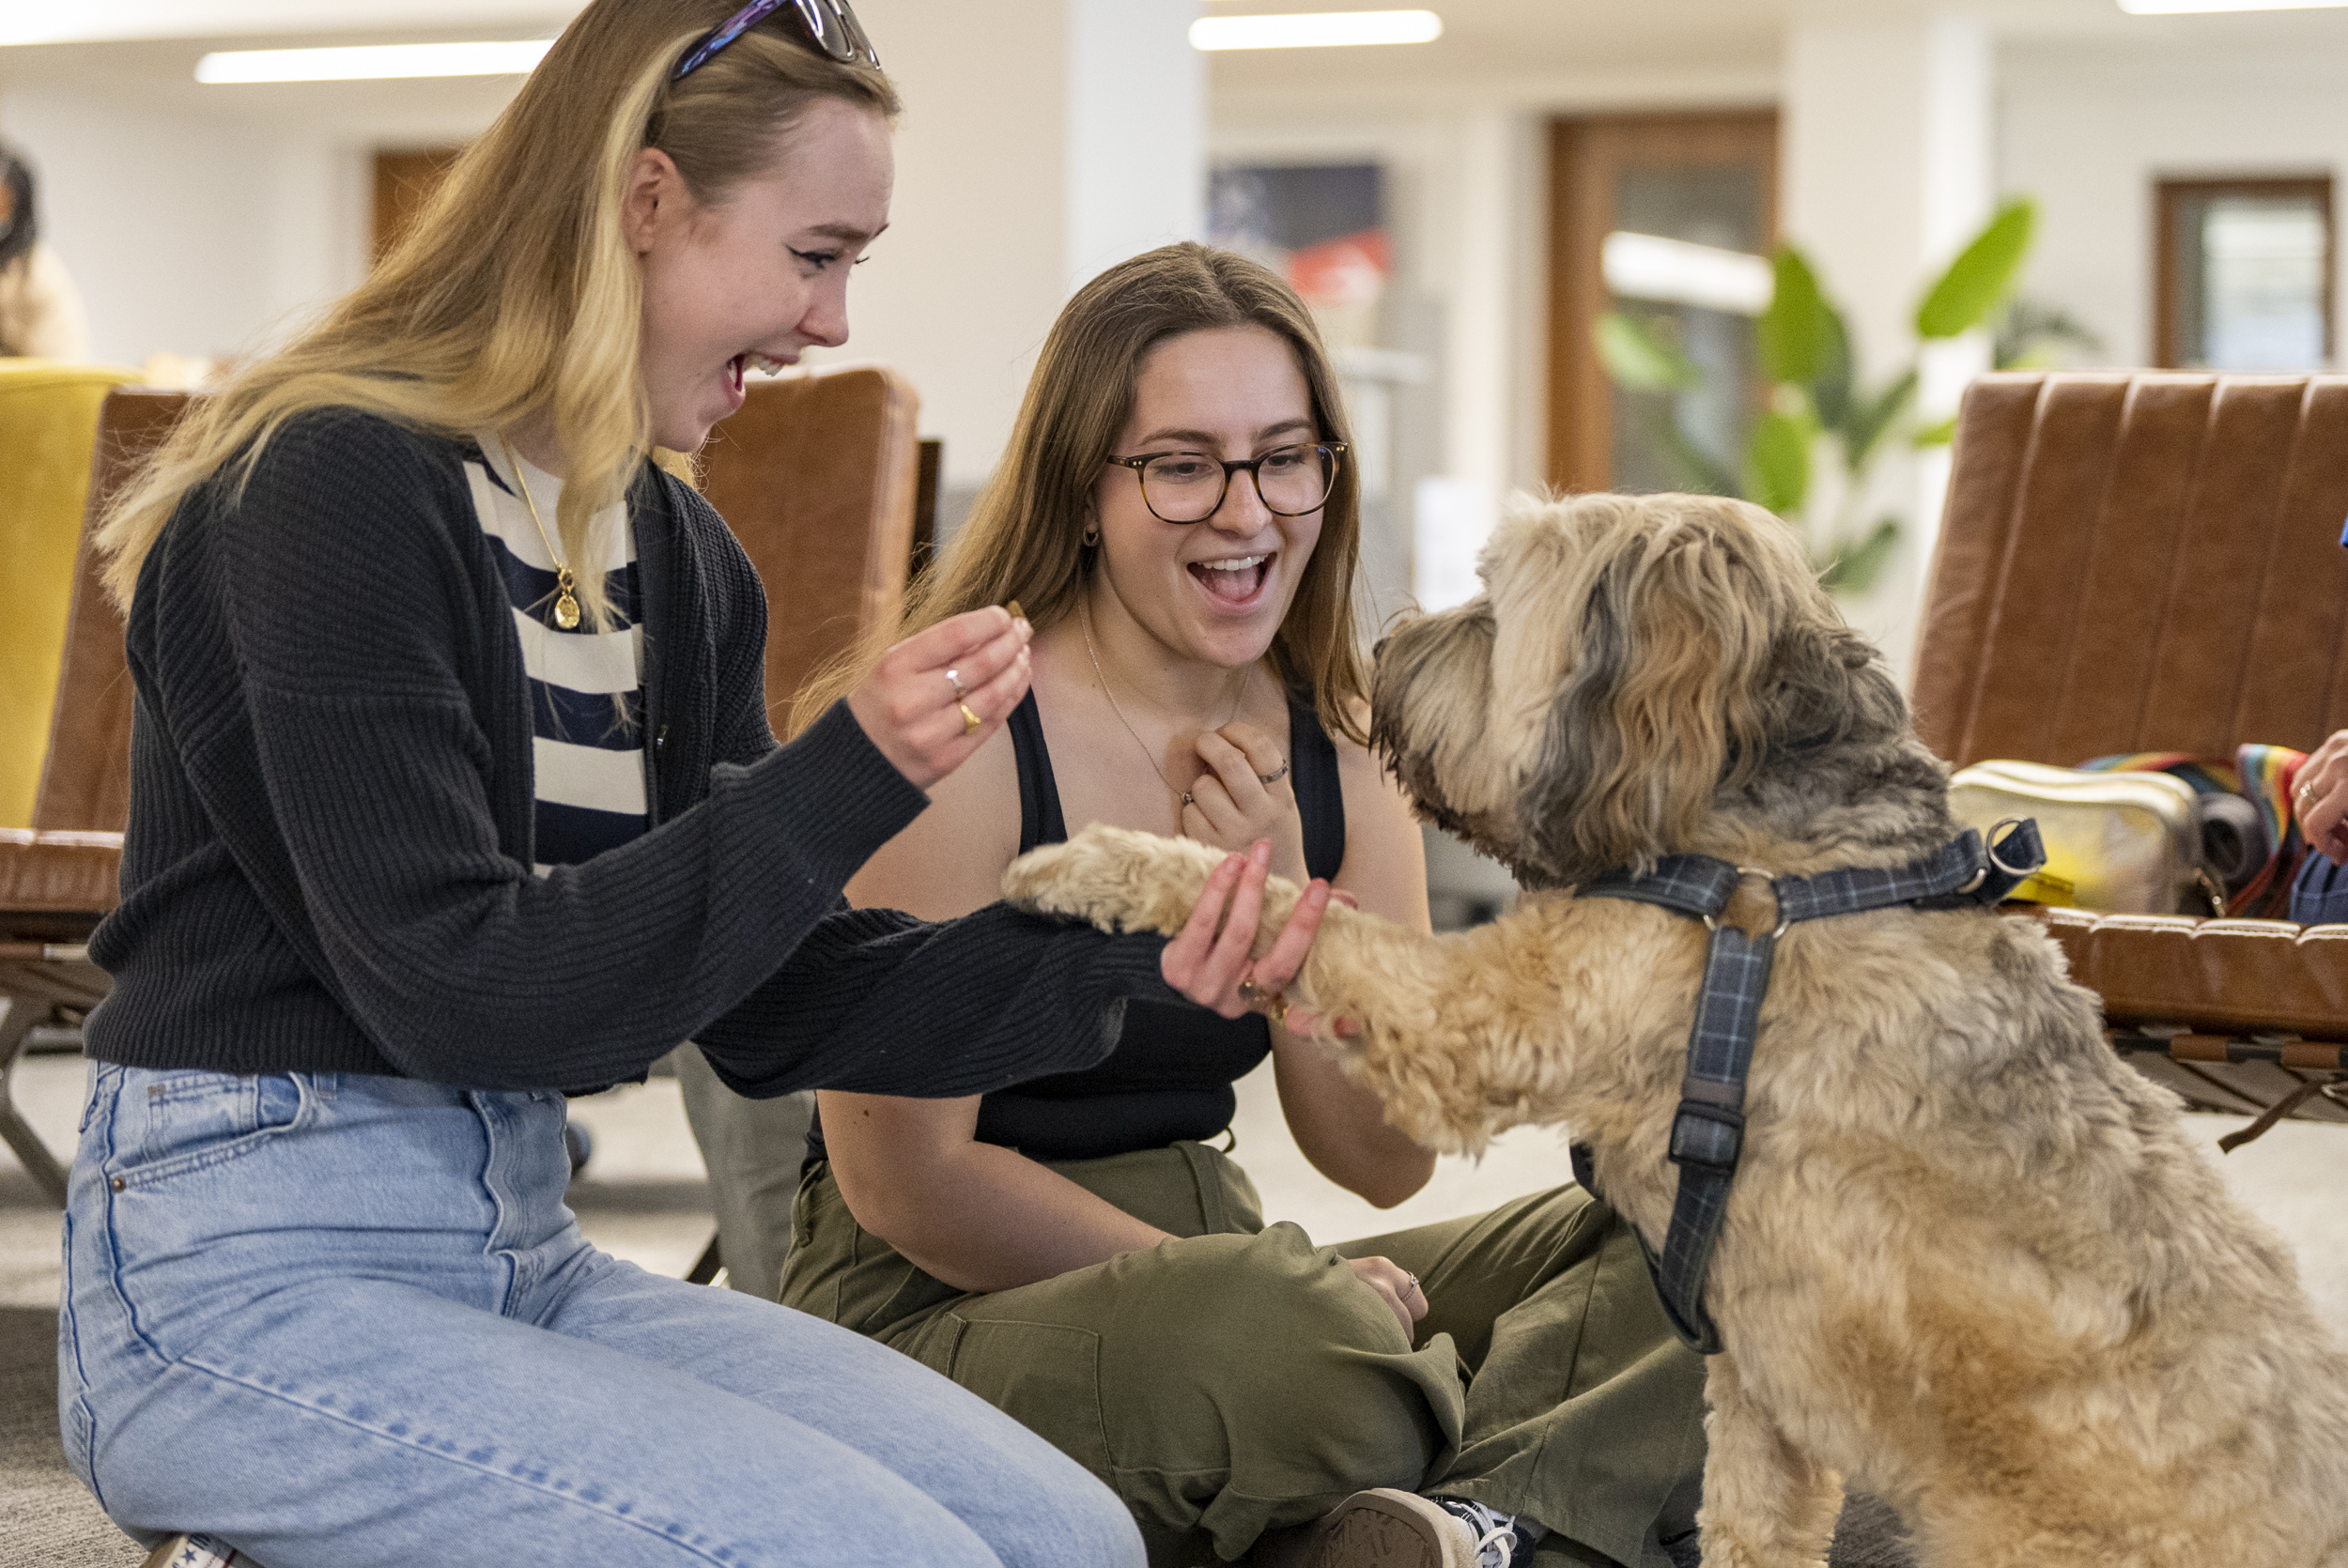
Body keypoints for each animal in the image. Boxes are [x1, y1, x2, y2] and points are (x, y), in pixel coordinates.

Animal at [1000, 493, 2348, 1568]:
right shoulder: (1760, 1396)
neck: (1766, 847)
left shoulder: (1480, 1018)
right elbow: (1753, 1529)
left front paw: (1092, 861)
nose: (1381, 647)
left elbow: (1296, 906)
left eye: (1496, 601)